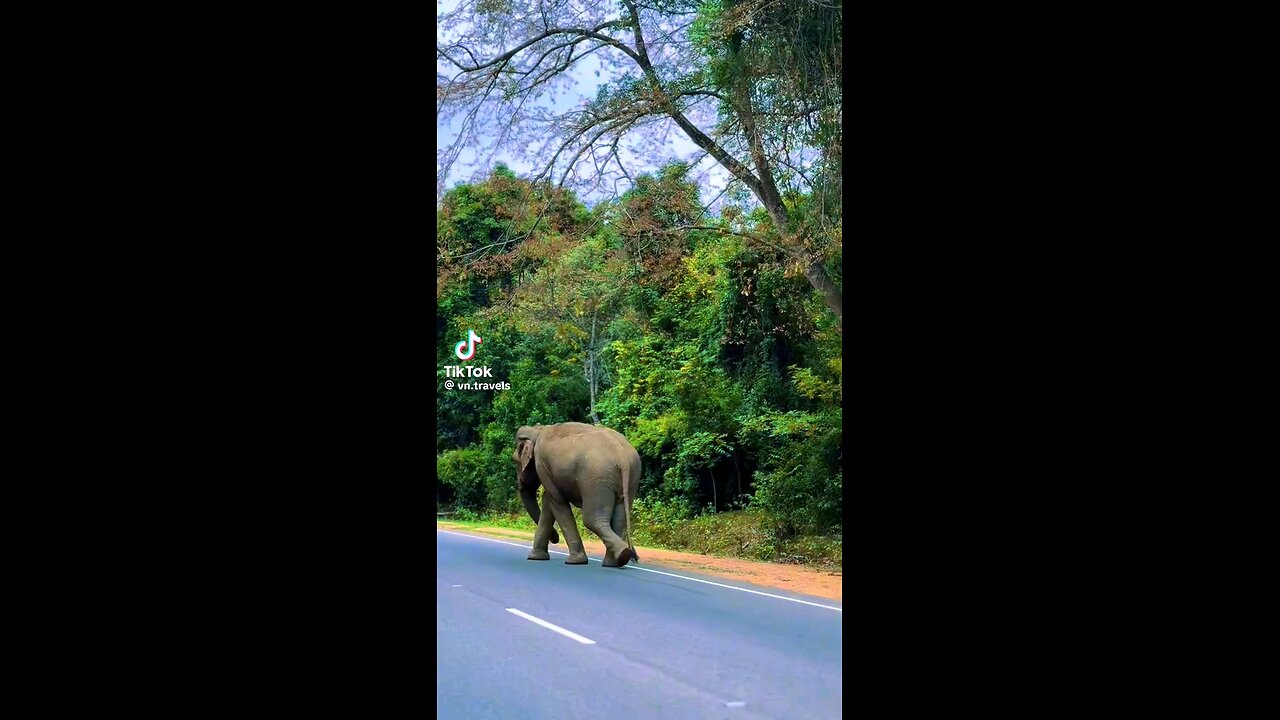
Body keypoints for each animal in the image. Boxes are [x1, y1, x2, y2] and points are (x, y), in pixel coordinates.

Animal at [512, 420, 640, 566]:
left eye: (514, 460)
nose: (555, 539)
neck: (538, 430)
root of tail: (622, 456)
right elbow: (548, 501)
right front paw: (536, 558)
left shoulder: (542, 464)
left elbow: (556, 500)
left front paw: (574, 561)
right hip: (631, 477)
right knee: (619, 519)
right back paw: (614, 562)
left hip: (595, 478)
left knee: (592, 519)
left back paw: (620, 556)